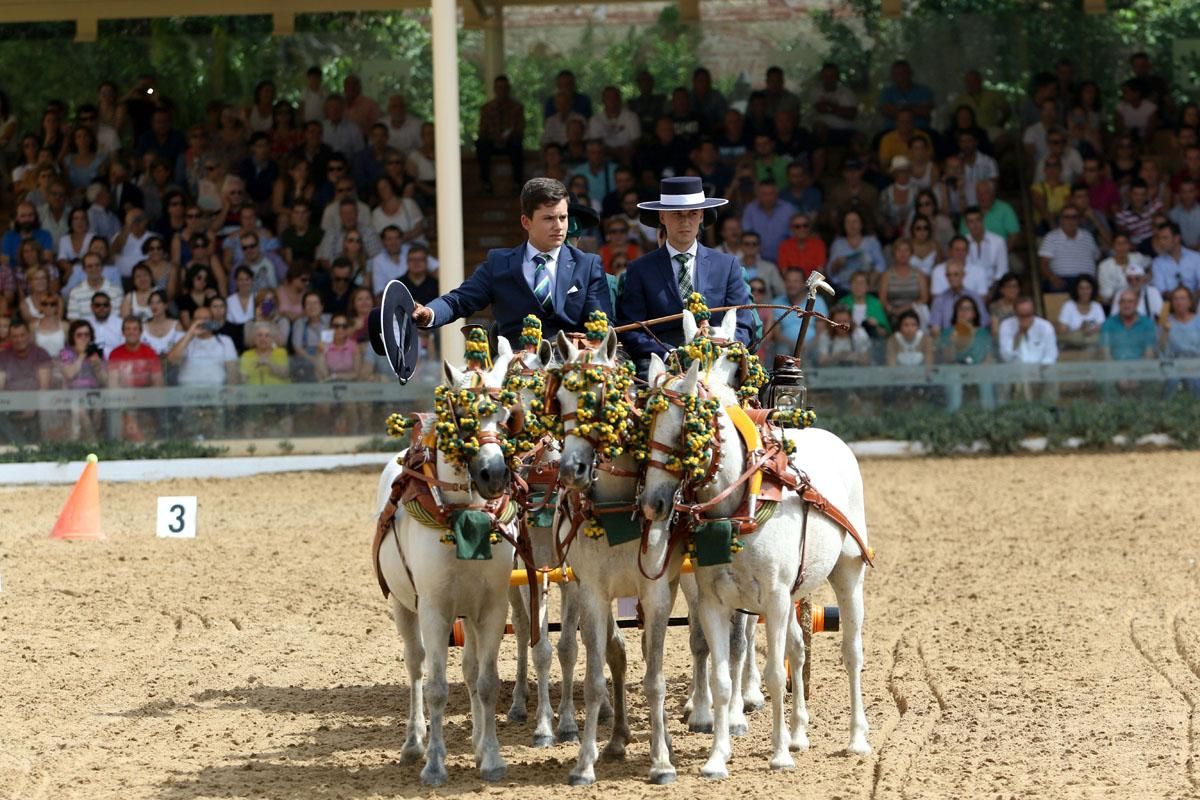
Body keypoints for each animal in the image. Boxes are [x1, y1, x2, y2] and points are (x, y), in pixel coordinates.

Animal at [376, 345, 518, 786]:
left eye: (505, 415)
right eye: (463, 416)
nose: (494, 474)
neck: (464, 513)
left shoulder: (492, 608)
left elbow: (487, 682)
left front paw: (492, 757)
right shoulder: (434, 609)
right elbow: (437, 687)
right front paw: (435, 764)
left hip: (468, 613)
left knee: (471, 671)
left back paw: (476, 743)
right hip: (404, 608)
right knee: (416, 667)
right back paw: (413, 744)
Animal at [556, 328, 681, 786]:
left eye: (598, 398)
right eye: (559, 399)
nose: (570, 470)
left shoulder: (657, 591)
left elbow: (656, 679)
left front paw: (661, 761)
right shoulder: (592, 590)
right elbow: (597, 675)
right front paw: (584, 762)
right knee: (618, 652)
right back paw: (617, 738)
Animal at [643, 350, 868, 777]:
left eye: (685, 429)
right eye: (644, 425)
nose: (653, 503)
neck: (738, 506)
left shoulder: (776, 599)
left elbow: (773, 674)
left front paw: (778, 755)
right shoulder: (714, 601)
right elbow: (721, 677)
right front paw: (717, 756)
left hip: (848, 575)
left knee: (851, 653)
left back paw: (857, 739)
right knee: (797, 649)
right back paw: (798, 734)